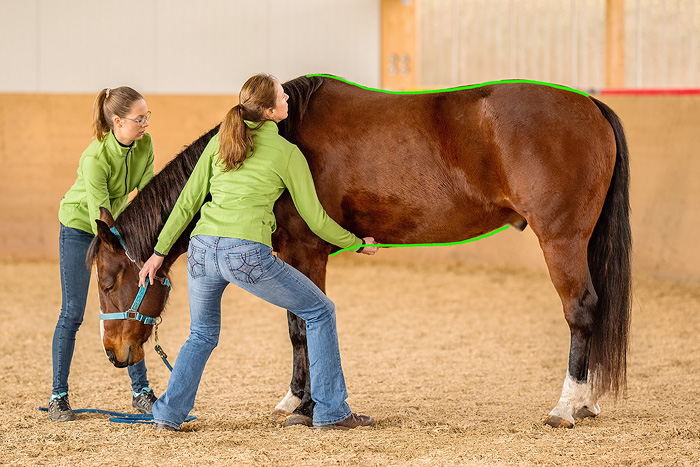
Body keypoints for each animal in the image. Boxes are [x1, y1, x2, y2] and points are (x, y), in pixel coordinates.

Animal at [85, 75, 632, 430]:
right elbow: (297, 327)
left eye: (108, 282)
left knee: (580, 310)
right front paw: (295, 400)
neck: (280, 136)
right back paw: (586, 403)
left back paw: (566, 407)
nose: (112, 352)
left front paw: (307, 407)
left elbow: (301, 327)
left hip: (560, 238)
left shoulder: (306, 252)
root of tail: (590, 106)